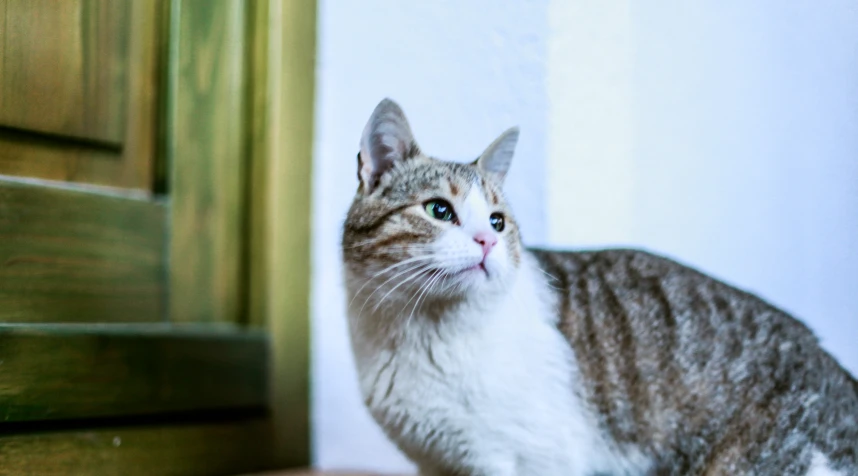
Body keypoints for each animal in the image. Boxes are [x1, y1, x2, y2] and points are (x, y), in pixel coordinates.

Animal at [342, 97, 856, 476]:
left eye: (497, 221)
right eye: (439, 211)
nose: (487, 240)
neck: (419, 331)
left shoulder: (528, 458)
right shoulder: (440, 463)